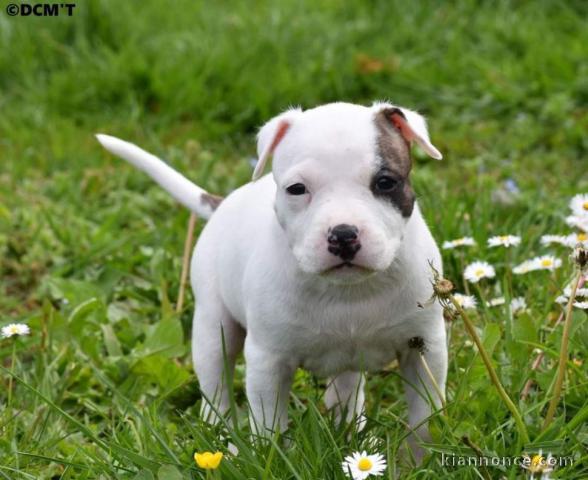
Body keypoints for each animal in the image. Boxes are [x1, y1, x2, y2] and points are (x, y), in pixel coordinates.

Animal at [96, 101, 446, 458]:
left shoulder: (424, 347)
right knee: (216, 386)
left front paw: (423, 456)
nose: (343, 235)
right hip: (212, 327)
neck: (349, 291)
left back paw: (352, 433)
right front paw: (271, 456)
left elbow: (425, 412)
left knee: (346, 389)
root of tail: (224, 203)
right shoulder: (268, 360)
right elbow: (268, 421)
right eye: (297, 189)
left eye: (386, 182)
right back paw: (222, 440)